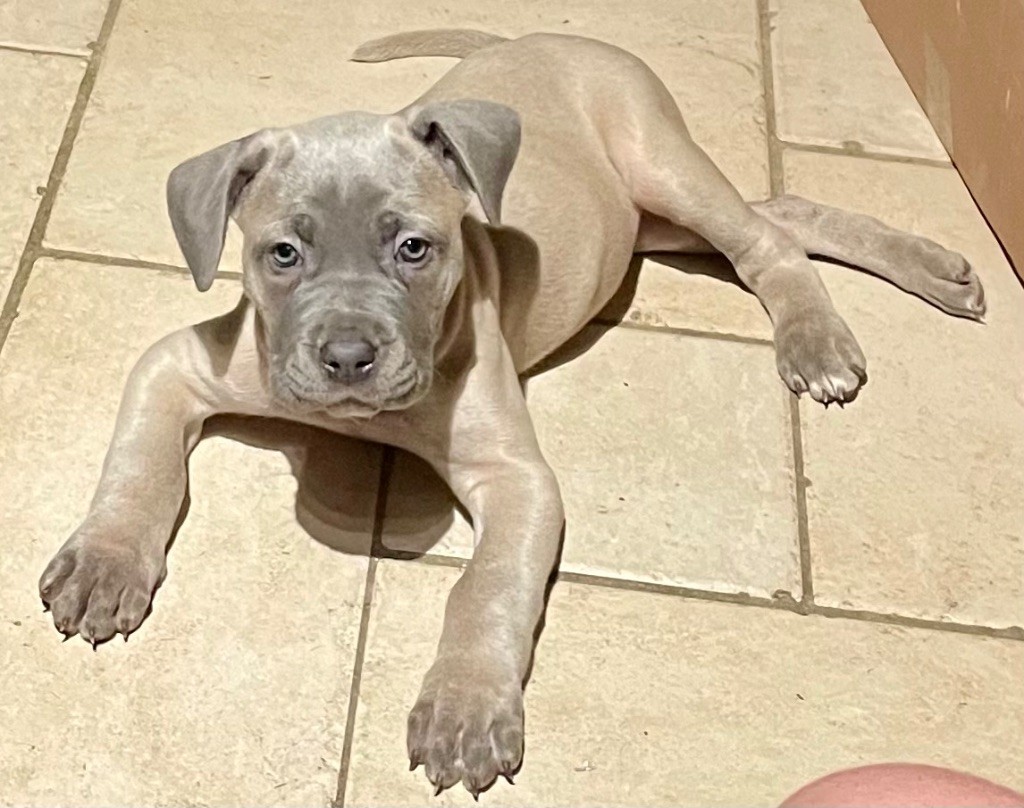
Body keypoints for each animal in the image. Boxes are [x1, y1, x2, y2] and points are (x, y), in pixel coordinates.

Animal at [39, 29, 983, 794]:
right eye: (283, 254)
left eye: (414, 247)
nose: (347, 359)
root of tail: (543, 35)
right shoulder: (176, 364)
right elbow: (139, 466)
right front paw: (105, 565)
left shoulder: (519, 479)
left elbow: (487, 586)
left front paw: (463, 709)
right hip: (644, 225)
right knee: (782, 214)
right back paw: (933, 270)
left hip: (662, 164)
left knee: (765, 242)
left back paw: (822, 338)